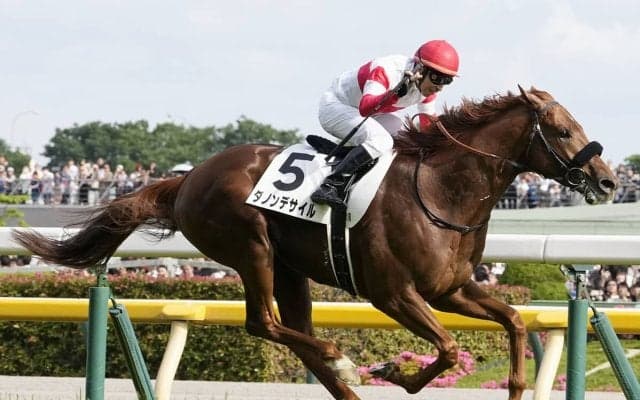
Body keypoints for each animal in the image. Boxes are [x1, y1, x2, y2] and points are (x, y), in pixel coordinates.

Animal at [13, 86, 617, 400]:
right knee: (265, 324)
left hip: (291, 268)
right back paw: (342, 360)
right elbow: (446, 349)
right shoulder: (393, 293)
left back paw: (343, 380)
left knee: (291, 328)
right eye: (563, 131)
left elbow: (513, 321)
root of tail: (186, 178)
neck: (441, 192)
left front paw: (515, 384)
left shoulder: (450, 289)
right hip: (251, 247)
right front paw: (395, 373)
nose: (609, 181)